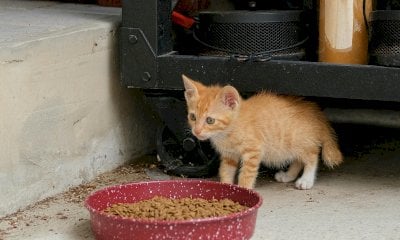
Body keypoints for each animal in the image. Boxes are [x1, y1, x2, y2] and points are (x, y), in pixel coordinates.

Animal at [183, 74, 342, 189]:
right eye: (193, 117)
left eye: (210, 120)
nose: (196, 131)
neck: (228, 132)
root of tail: (316, 112)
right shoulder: (229, 155)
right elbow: (226, 171)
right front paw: (226, 188)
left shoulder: (253, 151)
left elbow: (246, 174)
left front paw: (245, 190)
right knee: (298, 160)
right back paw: (288, 176)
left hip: (298, 140)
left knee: (312, 156)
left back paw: (306, 180)